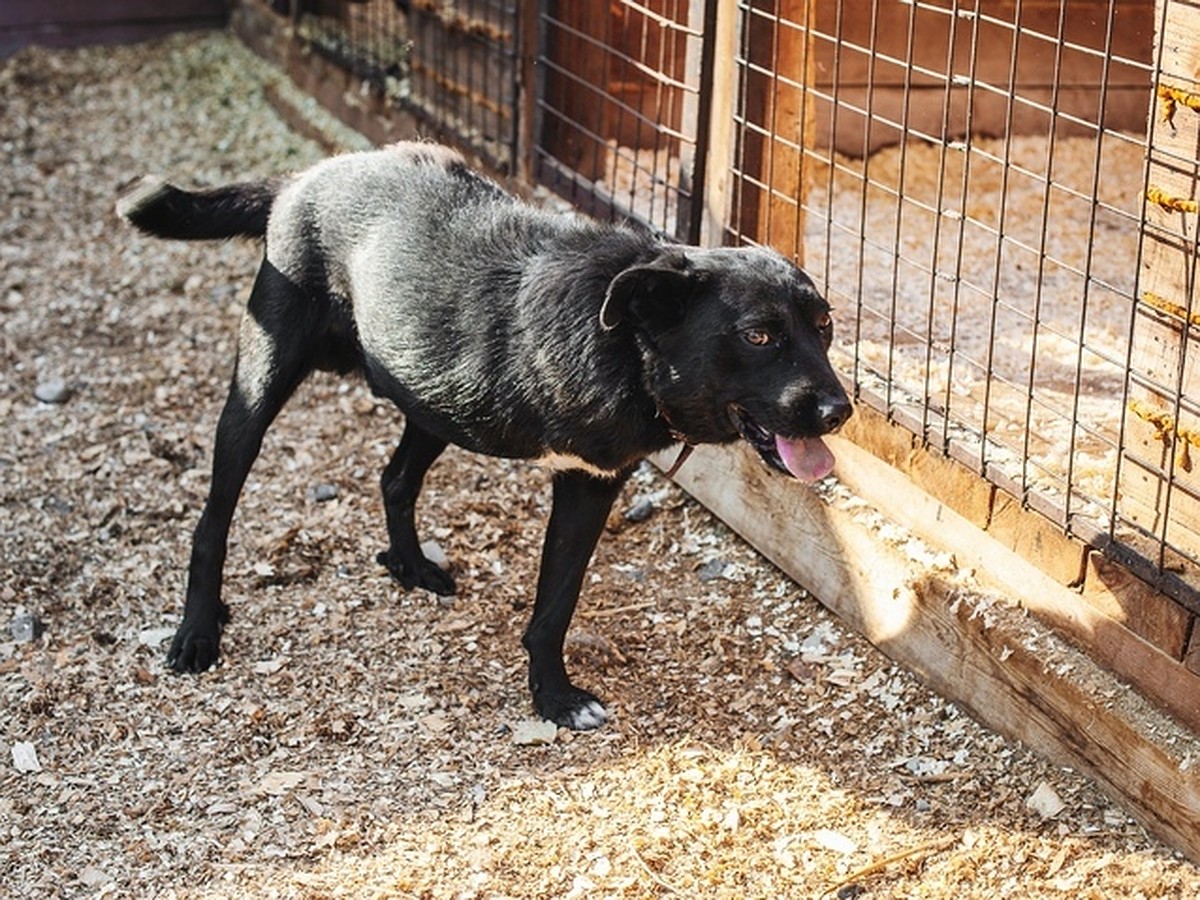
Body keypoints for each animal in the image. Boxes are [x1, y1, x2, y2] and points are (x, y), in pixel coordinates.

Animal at [119, 142, 854, 734]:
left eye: (825, 327)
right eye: (759, 334)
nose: (839, 411)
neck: (624, 341)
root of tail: (307, 176)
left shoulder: (592, 483)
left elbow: (557, 603)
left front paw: (552, 696)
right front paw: (555, 702)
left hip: (434, 398)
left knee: (395, 479)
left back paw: (410, 565)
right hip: (261, 385)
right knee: (213, 517)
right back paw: (197, 630)